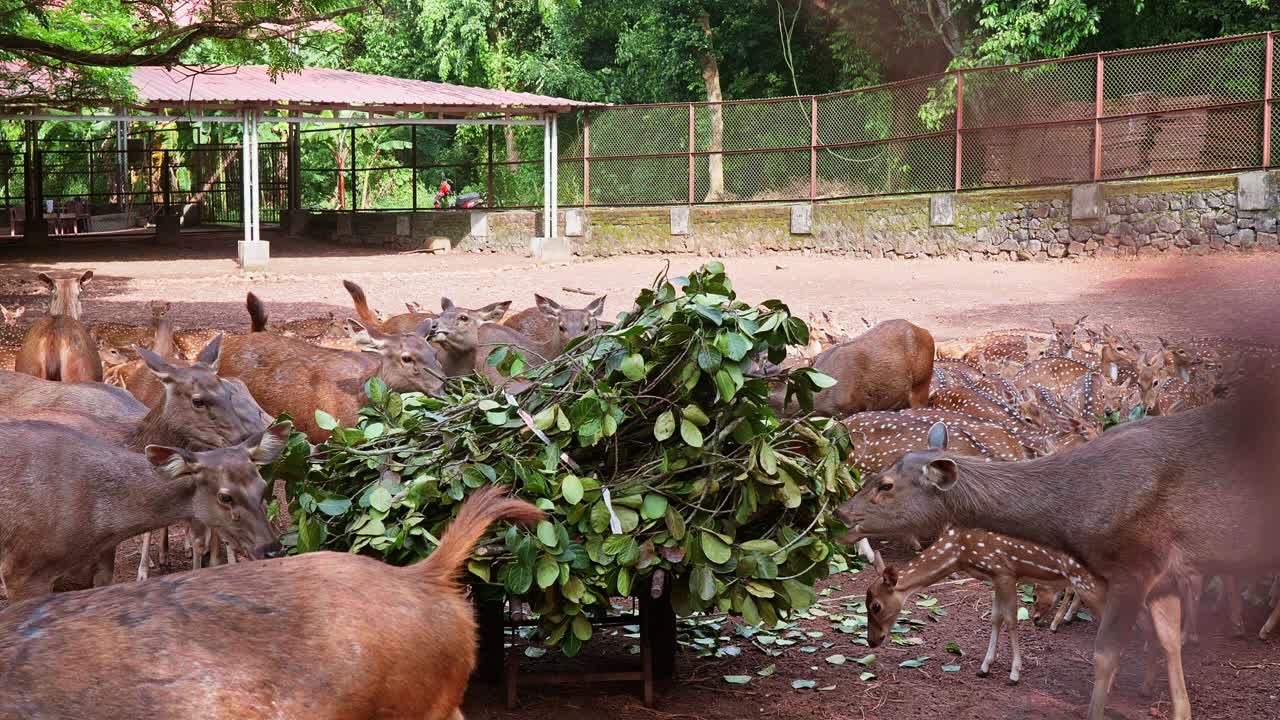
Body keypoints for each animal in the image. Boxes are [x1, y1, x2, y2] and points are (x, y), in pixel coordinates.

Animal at [865, 525, 1106, 684]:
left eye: (876, 606)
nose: (871, 641)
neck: (960, 552)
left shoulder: (1004, 572)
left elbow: (1011, 620)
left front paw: (1014, 674)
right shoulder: (996, 577)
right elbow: (995, 618)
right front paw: (984, 667)